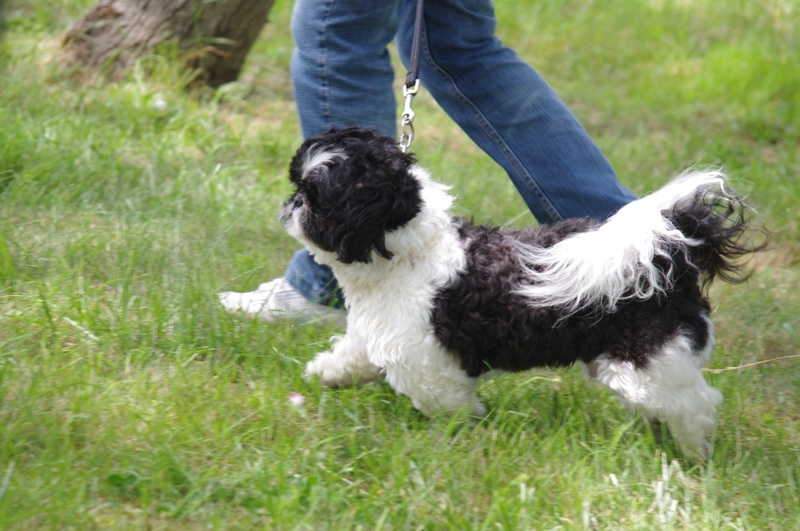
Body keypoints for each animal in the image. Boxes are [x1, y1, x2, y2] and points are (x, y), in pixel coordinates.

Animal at [282, 127, 764, 460]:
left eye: (318, 198)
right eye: (297, 186)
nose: (292, 205)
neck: (410, 251)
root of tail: (667, 254)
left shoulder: (429, 363)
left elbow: (447, 406)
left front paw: (451, 438)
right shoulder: (381, 330)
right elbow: (354, 354)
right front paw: (329, 373)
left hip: (646, 363)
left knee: (694, 404)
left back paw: (694, 454)